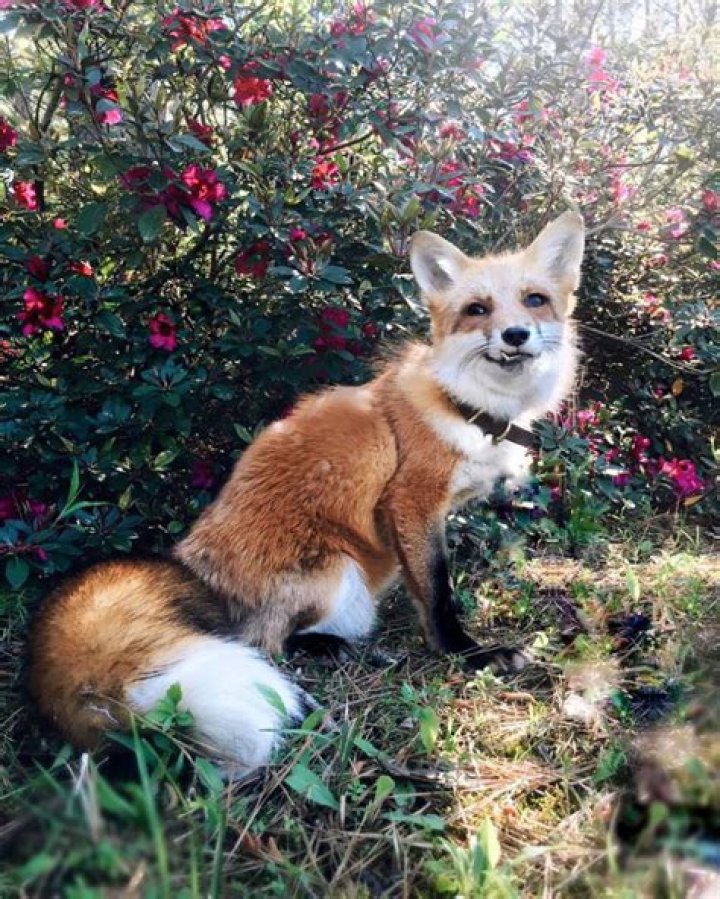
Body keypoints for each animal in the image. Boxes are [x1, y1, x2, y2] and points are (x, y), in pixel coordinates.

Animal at [28, 211, 584, 778]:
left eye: (534, 299)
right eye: (477, 309)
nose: (515, 334)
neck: (467, 406)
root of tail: (190, 565)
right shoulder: (411, 501)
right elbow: (436, 592)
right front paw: (465, 653)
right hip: (336, 571)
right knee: (264, 642)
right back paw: (329, 649)